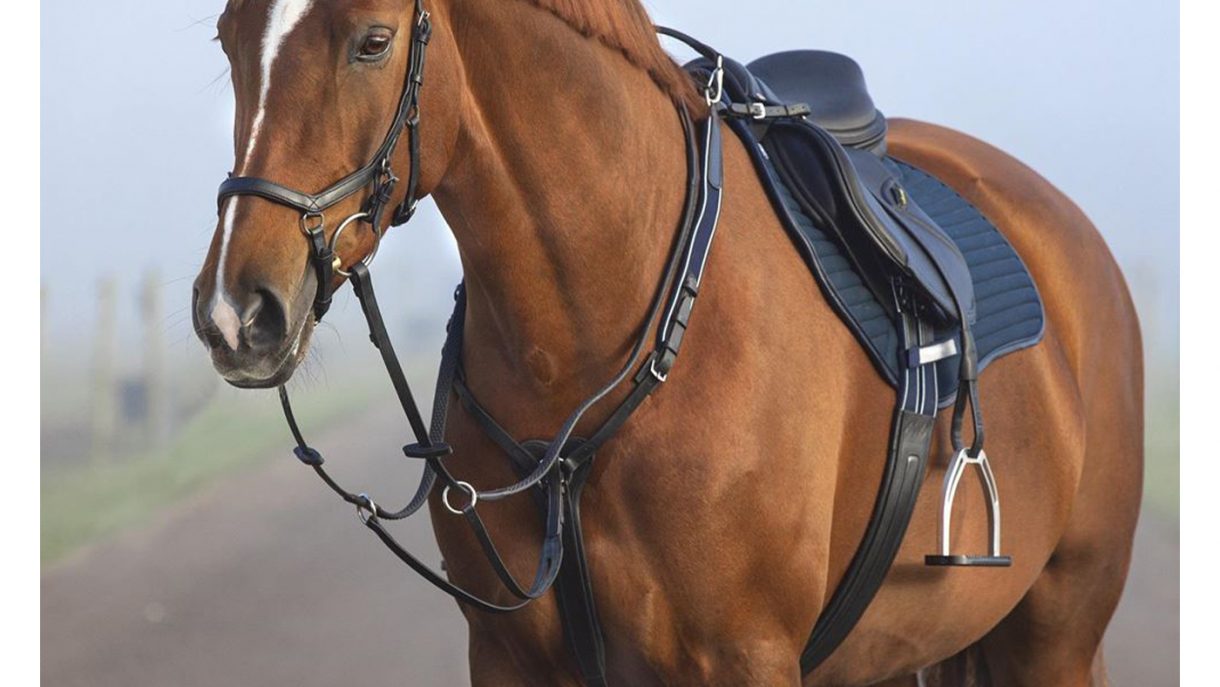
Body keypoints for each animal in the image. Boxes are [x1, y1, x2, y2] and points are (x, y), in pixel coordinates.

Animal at [191, 1, 1143, 685]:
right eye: (229, 37)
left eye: (374, 41)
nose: (238, 312)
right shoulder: (510, 659)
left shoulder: (746, 659)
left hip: (1057, 634)